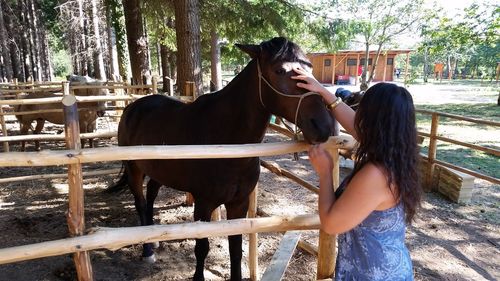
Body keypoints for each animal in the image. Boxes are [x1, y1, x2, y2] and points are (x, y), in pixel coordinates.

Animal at [108, 37, 336, 280]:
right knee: (141, 202)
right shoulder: (204, 204)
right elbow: (202, 248)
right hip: (134, 169)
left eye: (310, 68)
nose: (323, 126)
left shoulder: (239, 204)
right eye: (280, 70)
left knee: (151, 194)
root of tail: (133, 107)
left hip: (157, 170)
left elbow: (235, 248)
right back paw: (148, 250)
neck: (227, 144)